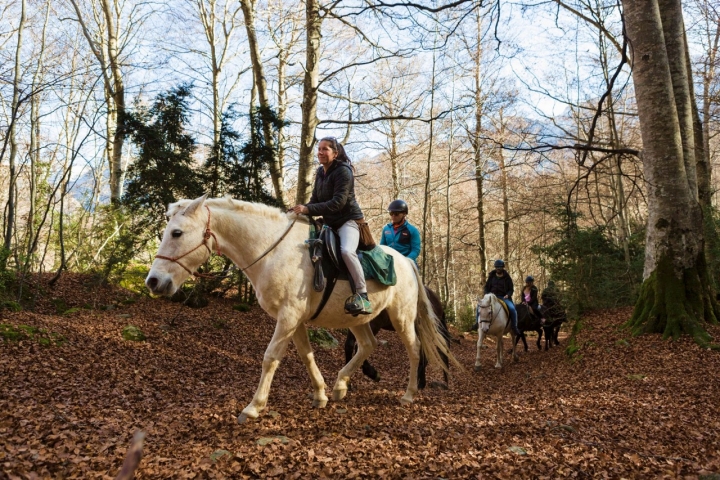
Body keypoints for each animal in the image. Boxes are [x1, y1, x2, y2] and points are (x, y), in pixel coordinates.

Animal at [145, 197, 456, 422]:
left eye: (177, 233)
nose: (154, 281)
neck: (273, 252)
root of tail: (406, 262)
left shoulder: (288, 318)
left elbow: (270, 358)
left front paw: (254, 406)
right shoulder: (295, 321)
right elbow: (307, 356)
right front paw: (320, 395)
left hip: (401, 318)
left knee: (415, 350)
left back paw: (409, 393)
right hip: (357, 319)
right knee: (367, 345)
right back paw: (340, 386)